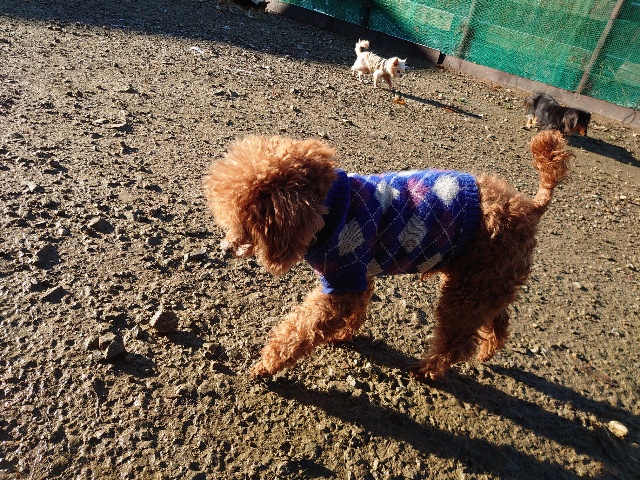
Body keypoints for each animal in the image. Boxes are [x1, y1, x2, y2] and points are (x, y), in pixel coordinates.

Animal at [203, 131, 573, 381]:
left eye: (248, 221)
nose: (224, 249)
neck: (330, 210)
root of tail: (530, 207)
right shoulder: (358, 276)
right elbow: (356, 310)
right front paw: (342, 335)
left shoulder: (343, 279)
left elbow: (300, 330)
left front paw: (266, 366)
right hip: (486, 281)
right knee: (499, 319)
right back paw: (487, 351)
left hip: (469, 290)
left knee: (456, 340)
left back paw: (427, 369)